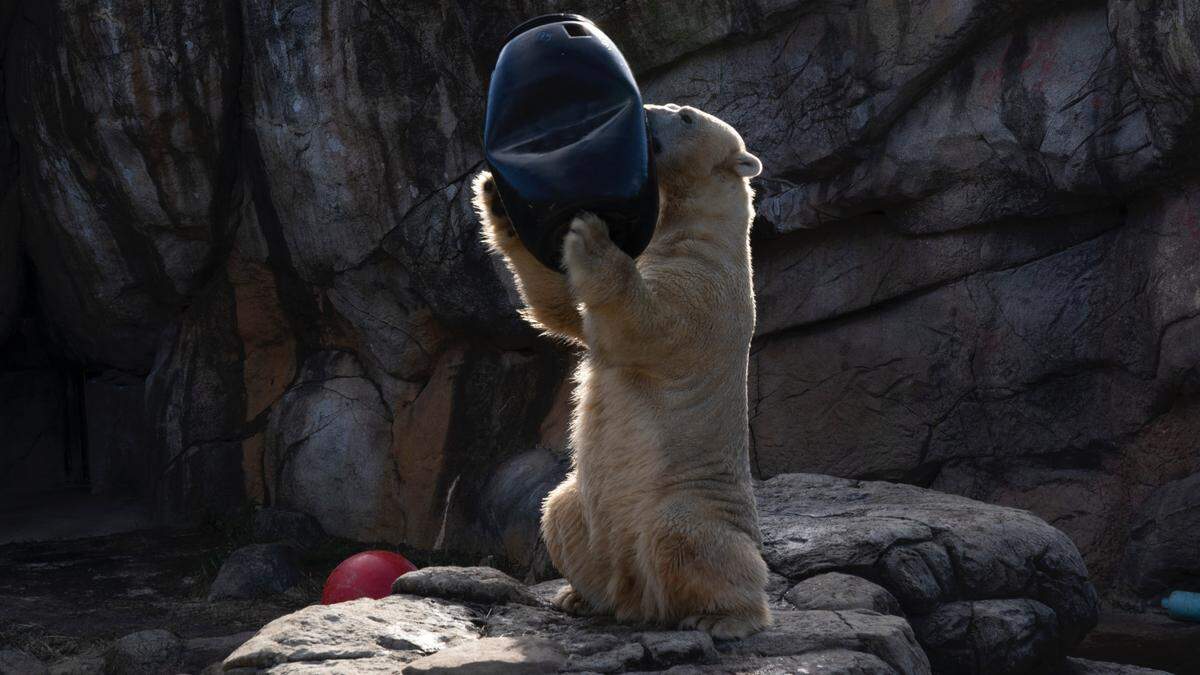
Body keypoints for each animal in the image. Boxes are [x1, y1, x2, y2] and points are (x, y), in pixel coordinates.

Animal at [472, 103, 769, 639]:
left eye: (686, 116)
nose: (648, 110)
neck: (703, 231)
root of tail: (641, 596)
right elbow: (567, 312)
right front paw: (495, 198)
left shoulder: (706, 288)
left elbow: (643, 327)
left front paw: (591, 234)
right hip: (591, 516)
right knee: (561, 509)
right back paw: (582, 597)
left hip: (691, 495)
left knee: (686, 534)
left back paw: (724, 617)